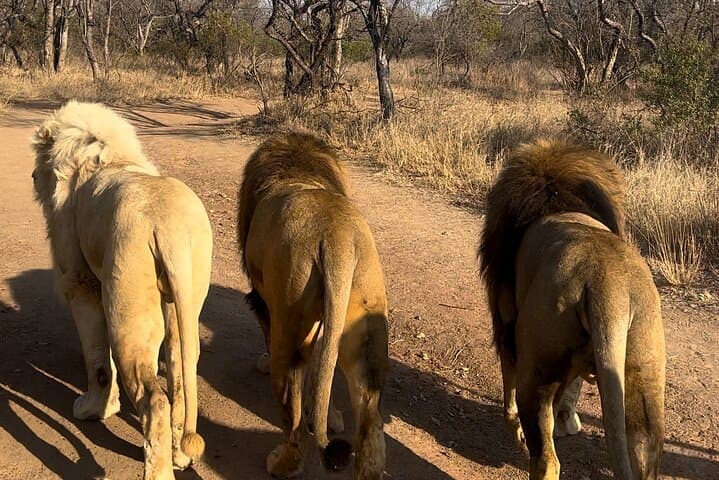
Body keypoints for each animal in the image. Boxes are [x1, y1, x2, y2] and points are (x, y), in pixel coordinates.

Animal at [31, 101, 212, 480]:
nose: (32, 177)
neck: (105, 157)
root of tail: (168, 223)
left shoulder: (81, 284)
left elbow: (97, 360)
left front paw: (94, 410)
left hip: (130, 308)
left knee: (154, 399)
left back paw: (159, 470)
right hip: (185, 298)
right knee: (179, 377)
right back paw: (179, 455)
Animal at [238, 132, 388, 479]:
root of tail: (337, 238)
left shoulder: (264, 302)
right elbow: (322, 373)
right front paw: (329, 415)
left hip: (289, 326)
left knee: (294, 426)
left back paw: (280, 464)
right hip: (365, 328)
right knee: (370, 423)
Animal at [479, 139, 665, 479]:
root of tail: (607, 283)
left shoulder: (505, 317)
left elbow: (507, 379)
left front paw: (519, 427)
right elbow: (574, 386)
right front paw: (567, 419)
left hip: (537, 369)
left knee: (546, 459)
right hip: (645, 367)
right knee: (644, 448)